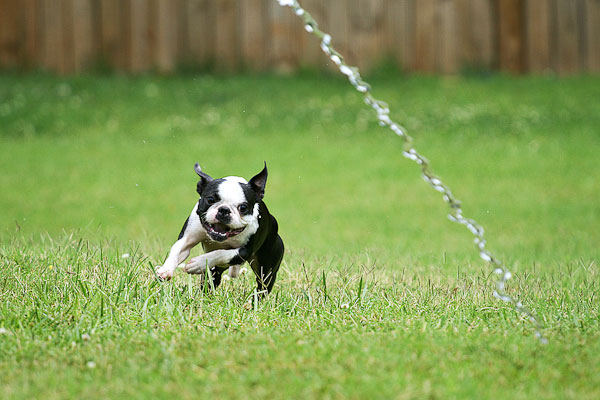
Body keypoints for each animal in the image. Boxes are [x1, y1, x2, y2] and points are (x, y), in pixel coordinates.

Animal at [157, 162, 284, 296]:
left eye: (243, 207)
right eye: (210, 200)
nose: (224, 210)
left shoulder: (244, 251)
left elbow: (220, 253)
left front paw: (198, 263)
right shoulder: (187, 239)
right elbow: (176, 250)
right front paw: (166, 269)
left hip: (266, 271)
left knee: (262, 287)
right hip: (214, 272)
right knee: (210, 281)